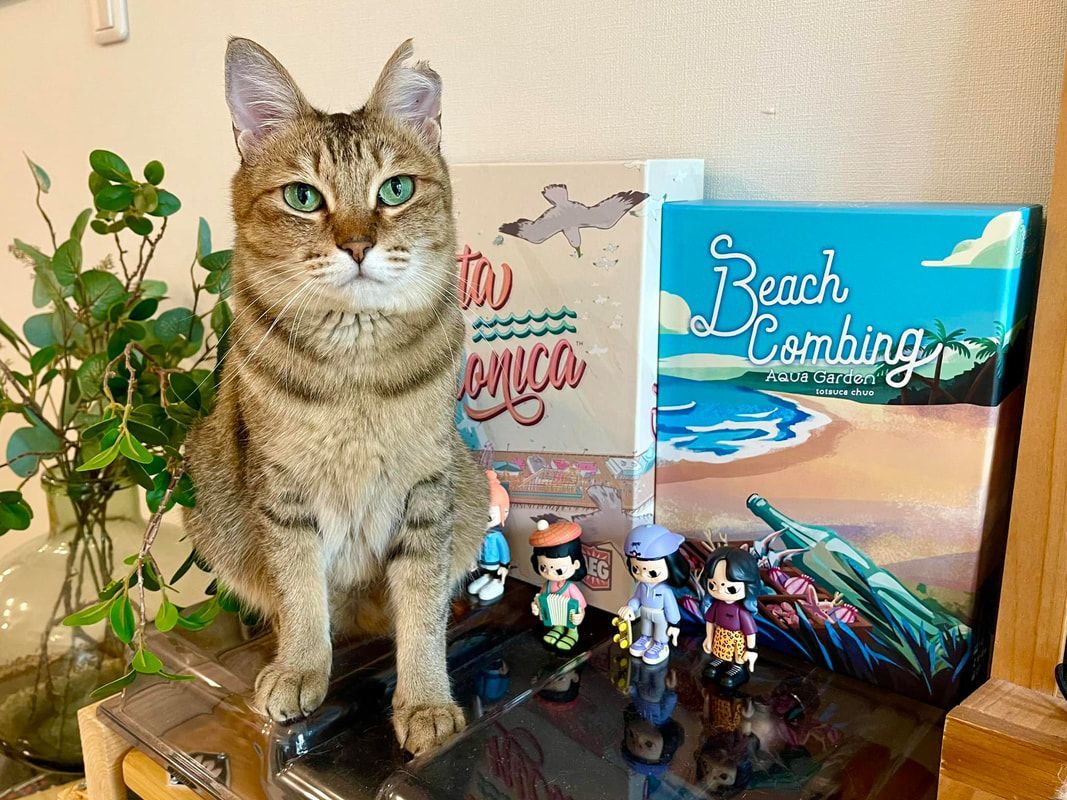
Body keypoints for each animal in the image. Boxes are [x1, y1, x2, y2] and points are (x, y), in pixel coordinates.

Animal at [181, 37, 486, 755]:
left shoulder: (428, 491)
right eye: (302, 197)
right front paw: (300, 668)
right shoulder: (283, 493)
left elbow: (422, 609)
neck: (356, 369)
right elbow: (299, 594)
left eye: (396, 189)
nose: (357, 245)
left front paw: (425, 700)